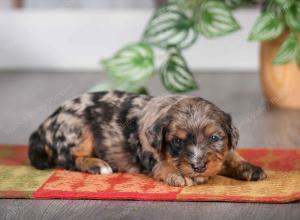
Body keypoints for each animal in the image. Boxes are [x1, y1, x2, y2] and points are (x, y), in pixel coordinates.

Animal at [28, 90, 268, 186]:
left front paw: (250, 167)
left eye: (215, 138)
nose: (198, 166)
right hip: (77, 130)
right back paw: (97, 164)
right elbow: (164, 165)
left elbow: (230, 155)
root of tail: (48, 120)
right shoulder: (151, 156)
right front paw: (179, 175)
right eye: (178, 141)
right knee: (67, 158)